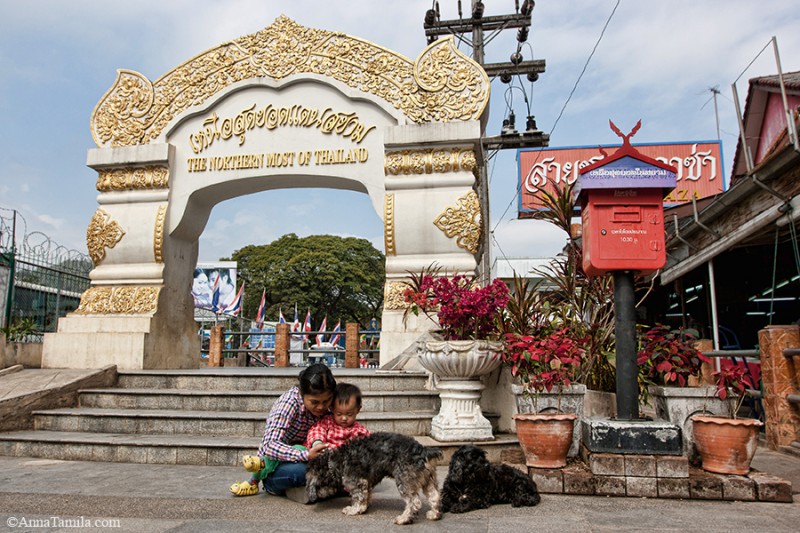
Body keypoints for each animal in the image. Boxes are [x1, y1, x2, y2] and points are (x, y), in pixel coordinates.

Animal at [306, 432, 444, 524]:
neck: (334, 462)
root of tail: (423, 451)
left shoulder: (357, 482)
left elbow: (358, 498)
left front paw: (353, 510)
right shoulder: (366, 482)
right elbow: (365, 497)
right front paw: (363, 508)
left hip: (404, 481)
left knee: (414, 502)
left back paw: (404, 519)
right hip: (428, 480)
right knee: (435, 496)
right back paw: (434, 514)